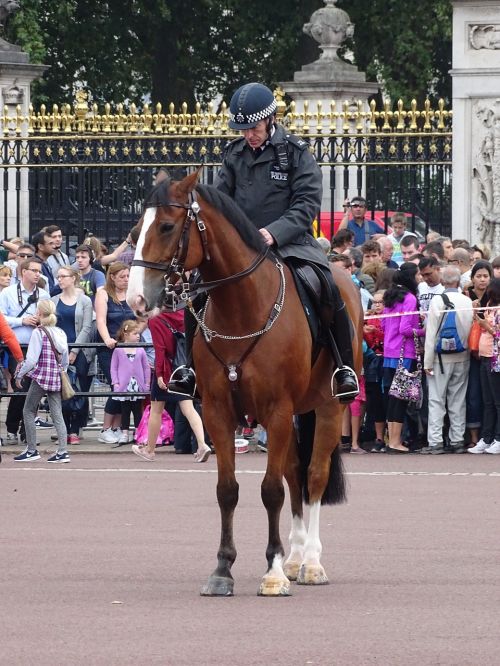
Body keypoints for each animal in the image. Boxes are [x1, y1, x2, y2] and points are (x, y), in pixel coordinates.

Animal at [128, 171, 364, 596]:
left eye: (168, 226)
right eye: (137, 230)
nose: (136, 299)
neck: (243, 306)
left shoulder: (277, 410)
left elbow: (271, 490)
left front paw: (272, 572)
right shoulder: (220, 411)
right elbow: (228, 490)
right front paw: (224, 569)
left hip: (327, 406)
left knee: (314, 475)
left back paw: (311, 562)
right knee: (295, 473)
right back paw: (295, 557)